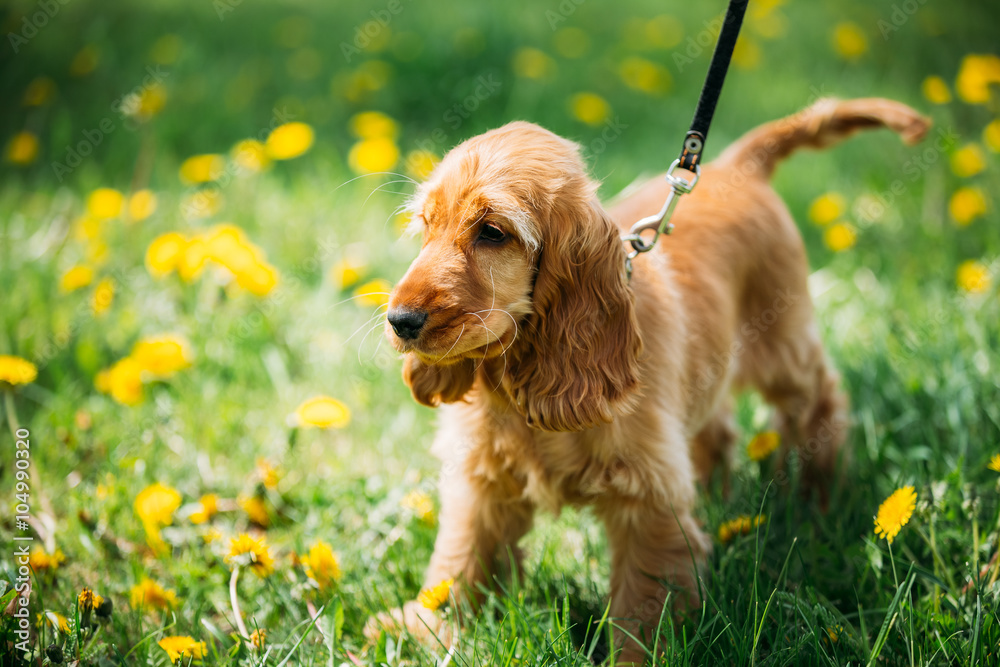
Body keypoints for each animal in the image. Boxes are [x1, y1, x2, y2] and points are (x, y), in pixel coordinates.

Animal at [368, 95, 928, 664]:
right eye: (427, 226)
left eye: (492, 233)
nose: (400, 321)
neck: (525, 366)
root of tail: (737, 165)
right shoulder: (481, 476)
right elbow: (460, 555)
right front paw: (424, 627)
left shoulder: (647, 497)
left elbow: (644, 596)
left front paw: (639, 656)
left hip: (783, 345)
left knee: (819, 405)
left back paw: (817, 500)